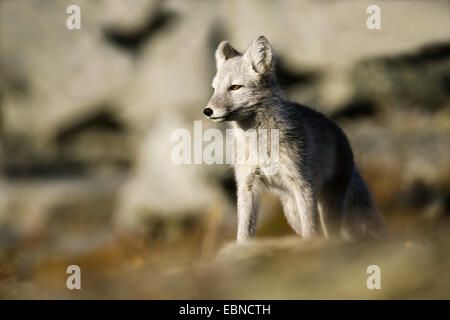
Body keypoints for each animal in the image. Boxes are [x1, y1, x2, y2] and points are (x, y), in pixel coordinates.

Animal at [204, 36, 386, 241]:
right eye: (214, 89)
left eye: (235, 87)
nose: (207, 111)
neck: (261, 145)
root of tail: (339, 130)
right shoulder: (247, 186)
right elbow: (243, 234)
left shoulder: (302, 183)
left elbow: (311, 231)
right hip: (291, 211)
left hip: (326, 207)